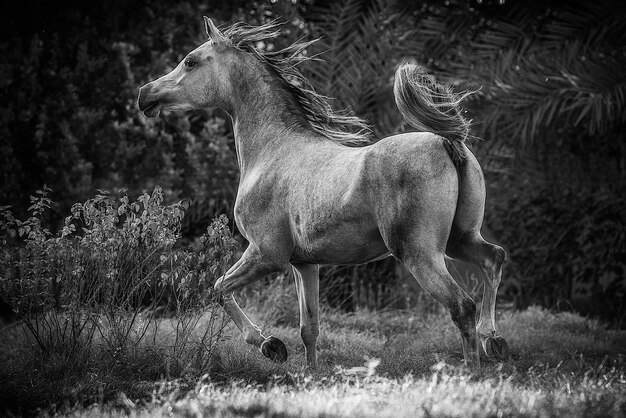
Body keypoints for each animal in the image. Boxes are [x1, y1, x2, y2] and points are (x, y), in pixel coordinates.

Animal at [136, 17, 508, 370]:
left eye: (190, 61)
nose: (144, 94)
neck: (273, 149)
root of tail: (447, 143)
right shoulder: (304, 264)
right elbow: (309, 328)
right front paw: (310, 373)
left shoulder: (266, 254)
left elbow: (219, 288)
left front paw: (270, 345)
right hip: (460, 240)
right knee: (493, 258)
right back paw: (493, 340)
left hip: (419, 253)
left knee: (462, 305)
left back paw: (472, 368)